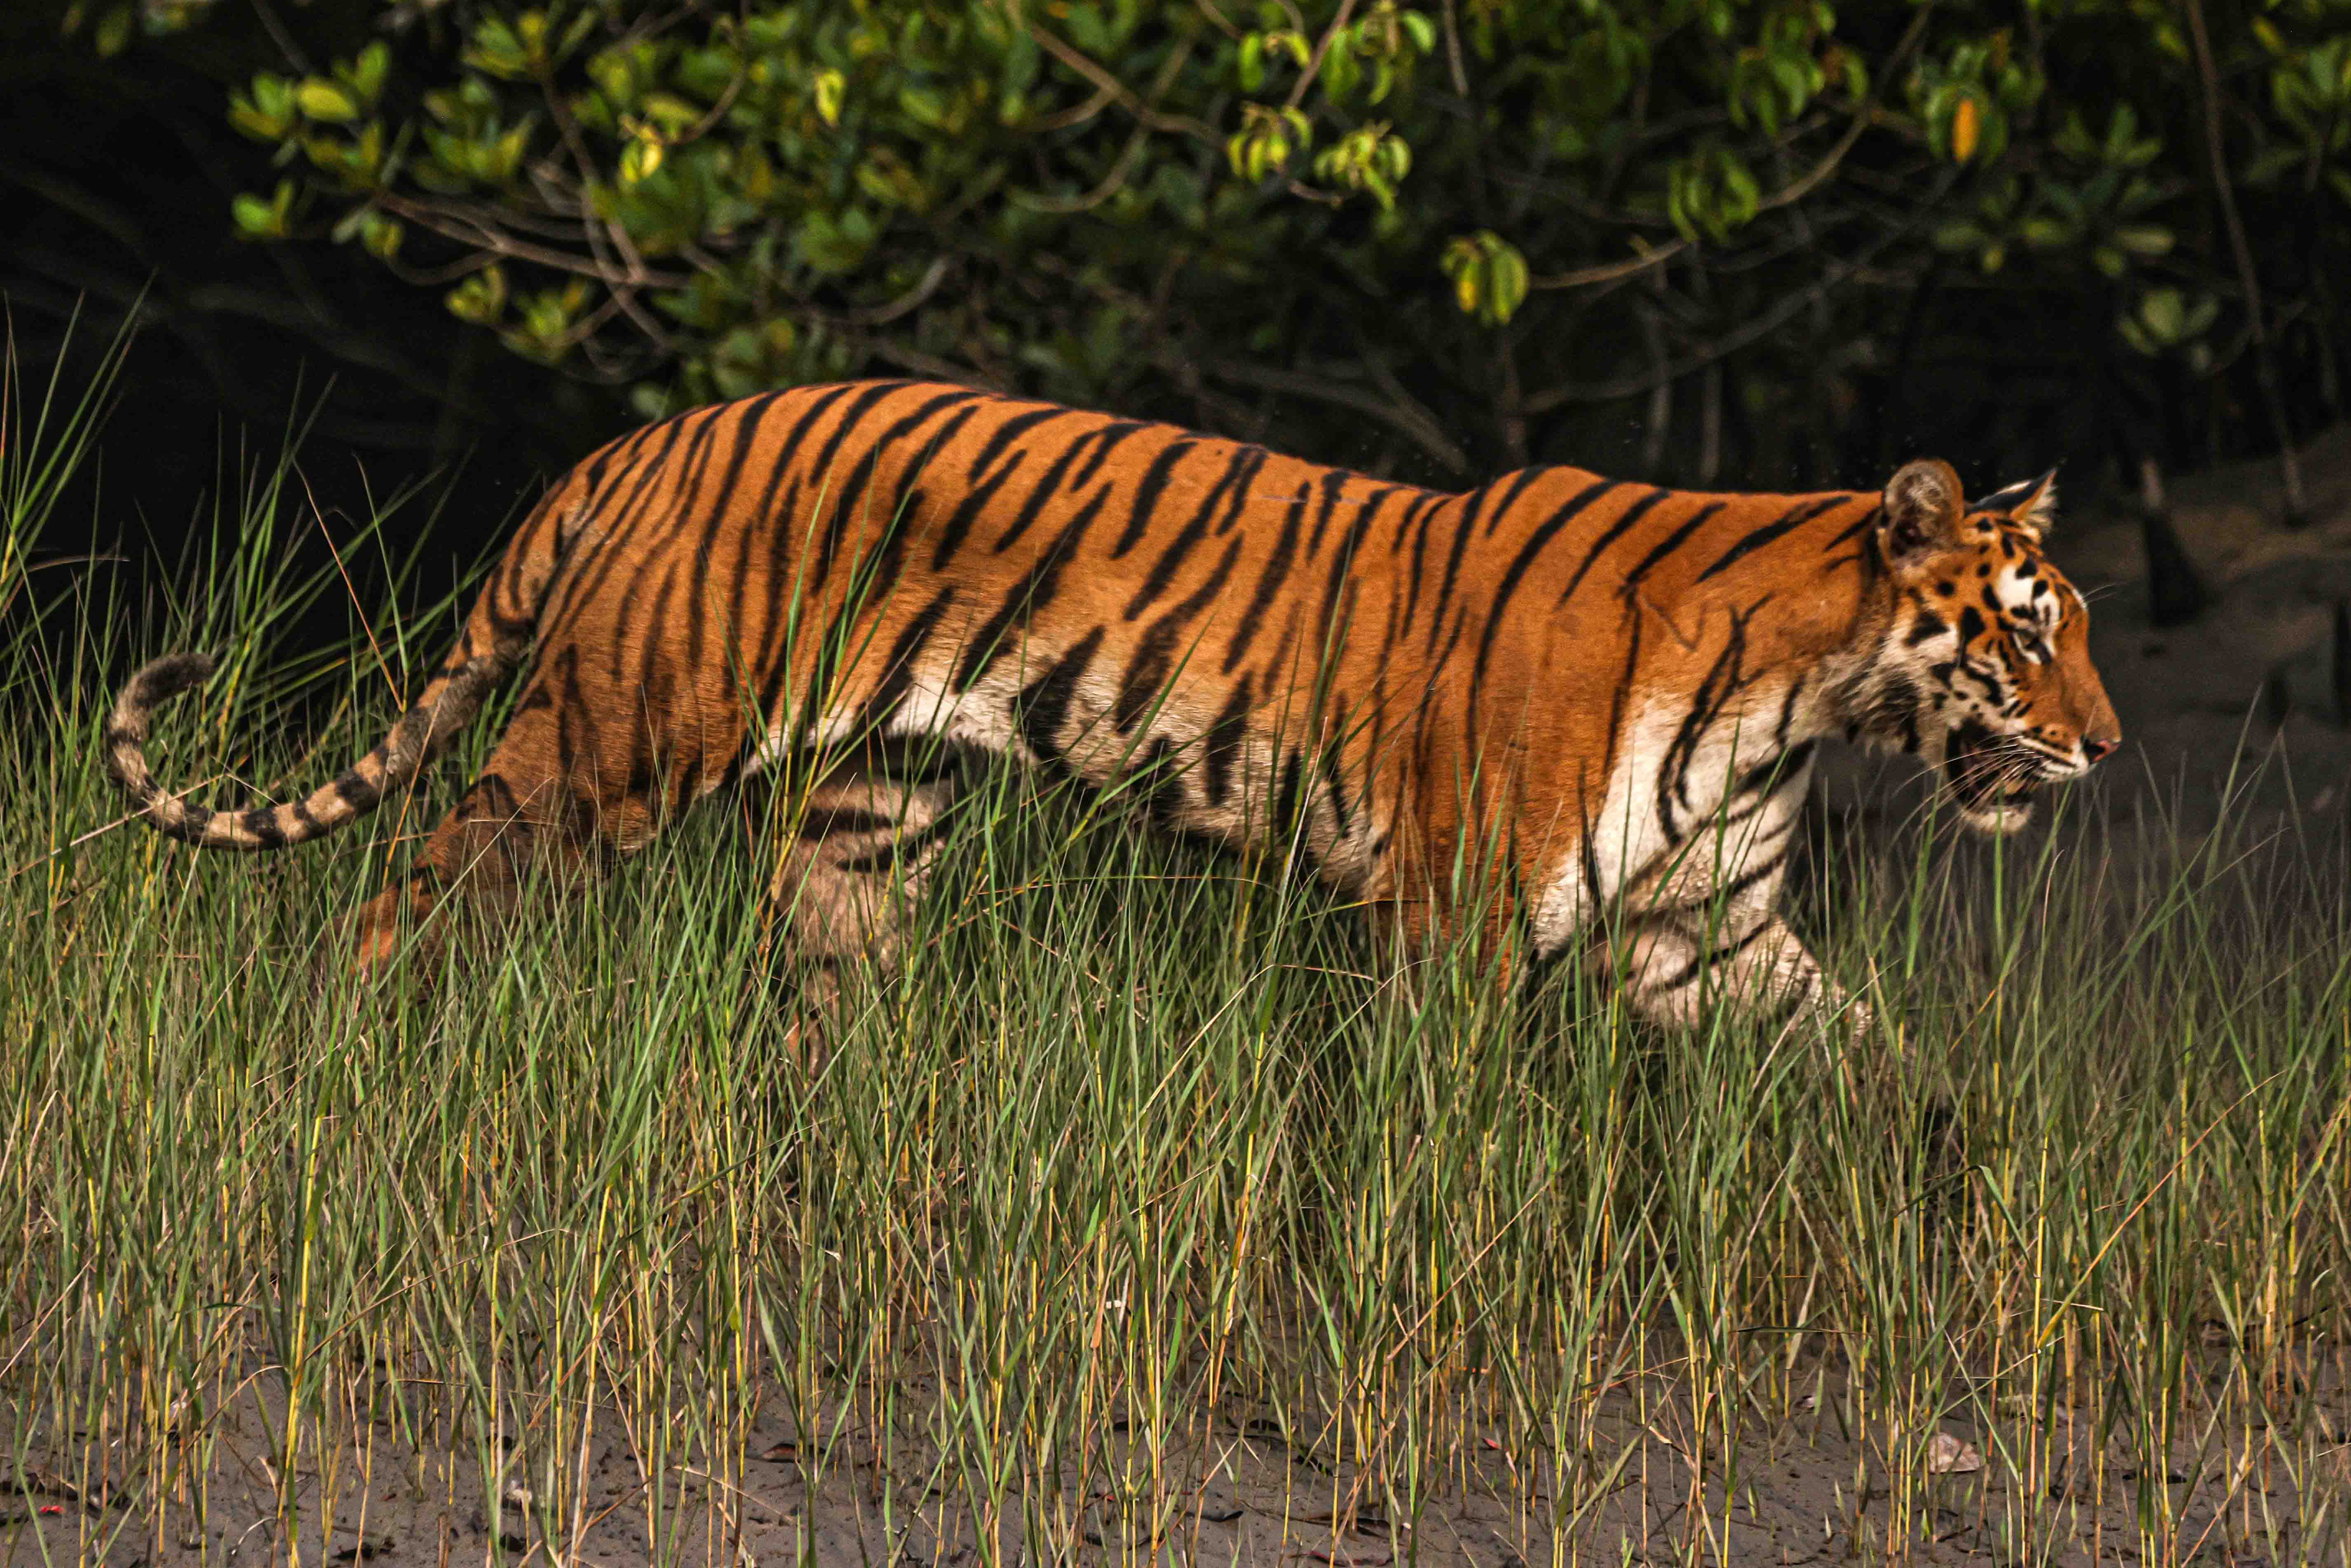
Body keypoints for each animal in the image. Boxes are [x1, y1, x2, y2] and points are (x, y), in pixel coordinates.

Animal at [101, 379, 2119, 1032]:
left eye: (2076, 631)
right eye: (2022, 634)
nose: (2104, 742)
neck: (1803, 701)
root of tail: (655, 432)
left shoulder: (1714, 936)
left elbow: (1881, 1070)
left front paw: (1955, 1204)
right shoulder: (1457, 918)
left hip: (866, 822)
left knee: (826, 1005)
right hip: (602, 748)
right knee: (402, 900)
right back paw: (340, 1053)